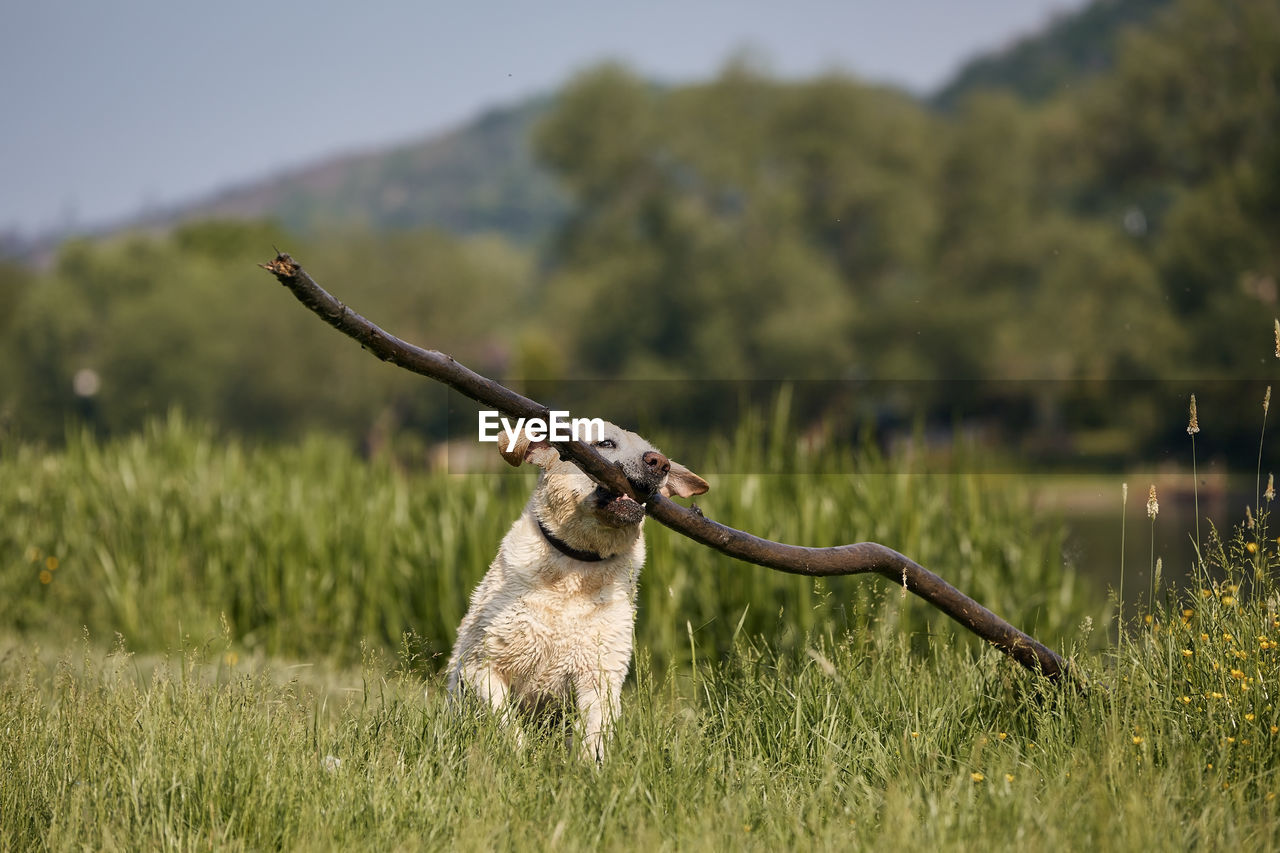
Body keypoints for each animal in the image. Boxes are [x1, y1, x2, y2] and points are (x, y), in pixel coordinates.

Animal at [448, 417, 711, 758]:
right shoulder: (481, 666)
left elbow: (592, 738)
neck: (575, 571)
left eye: (654, 451)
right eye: (606, 443)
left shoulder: (599, 677)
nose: (661, 463)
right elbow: (507, 725)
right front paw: (520, 759)